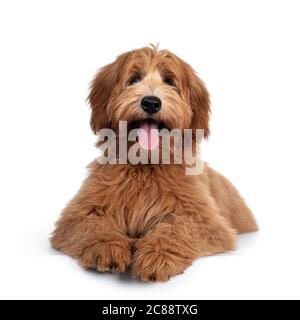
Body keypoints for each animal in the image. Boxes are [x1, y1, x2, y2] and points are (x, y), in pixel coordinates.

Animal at [50, 45, 256, 282]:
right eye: (134, 78)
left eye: (169, 81)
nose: (150, 102)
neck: (145, 165)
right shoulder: (75, 217)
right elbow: (95, 226)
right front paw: (107, 247)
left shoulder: (206, 222)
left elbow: (177, 228)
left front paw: (156, 255)